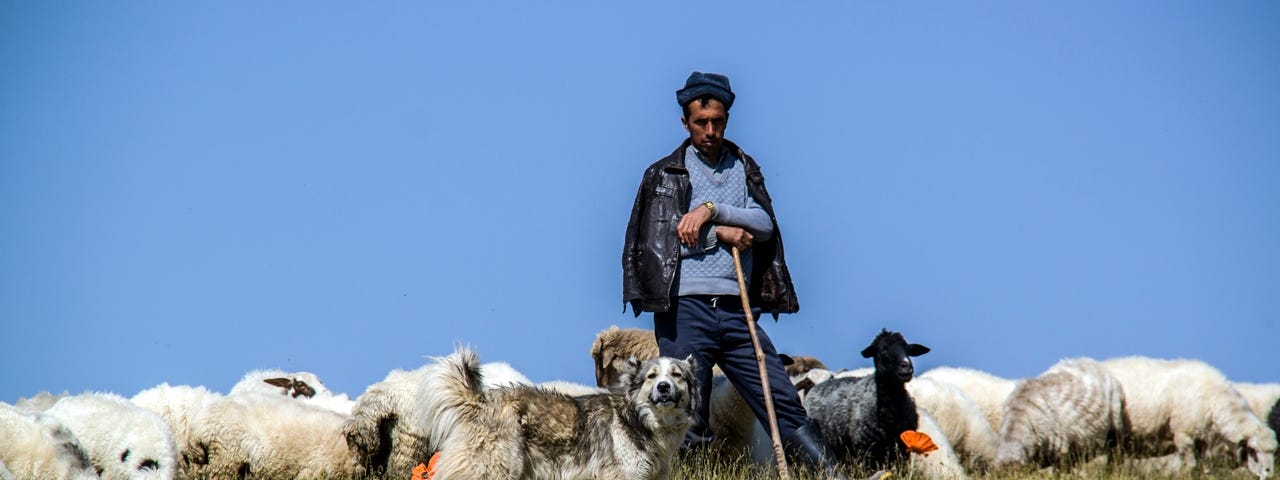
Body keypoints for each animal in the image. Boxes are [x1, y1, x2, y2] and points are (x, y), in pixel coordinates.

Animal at [1105, 355, 1274, 478]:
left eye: (1273, 453)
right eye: (1252, 451)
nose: (1269, 474)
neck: (1214, 400)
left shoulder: (1200, 441)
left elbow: (1198, 467)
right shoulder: (1183, 433)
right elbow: (1191, 466)